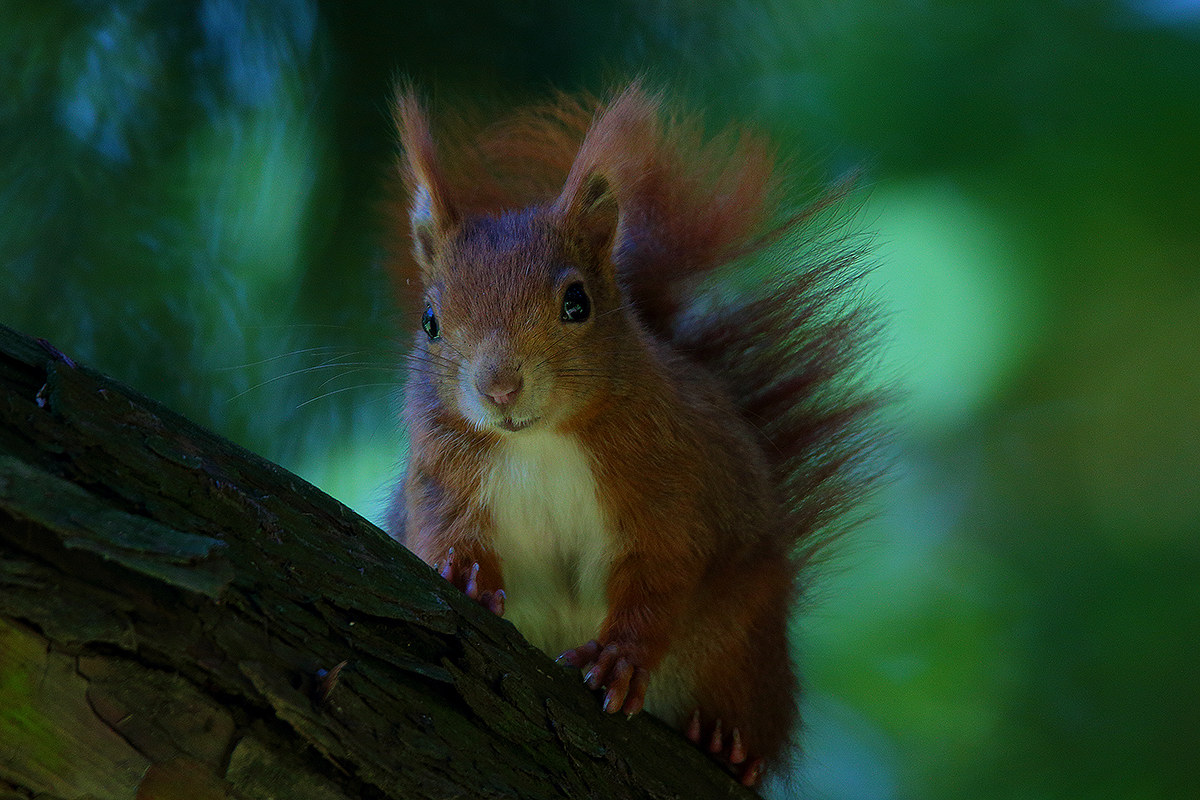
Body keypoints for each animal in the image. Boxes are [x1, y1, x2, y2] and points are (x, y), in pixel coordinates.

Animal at [385, 82, 880, 787]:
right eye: (429, 319)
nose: (499, 387)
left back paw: (727, 745)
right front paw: (464, 574)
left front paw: (620, 658)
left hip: (742, 647)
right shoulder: (440, 476)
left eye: (577, 303)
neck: (538, 442)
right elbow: (438, 533)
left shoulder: (670, 485)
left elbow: (660, 575)